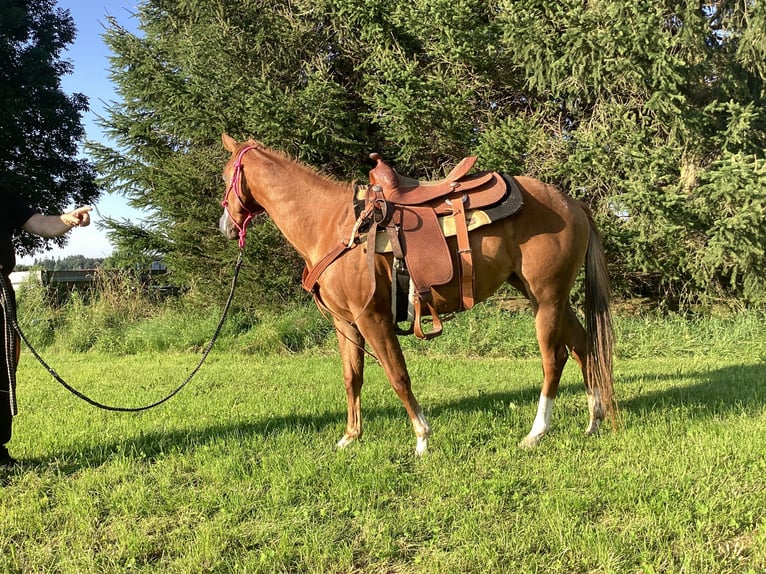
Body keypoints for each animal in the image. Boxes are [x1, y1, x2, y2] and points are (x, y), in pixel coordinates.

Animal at [218, 133, 616, 456]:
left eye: (225, 177)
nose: (225, 226)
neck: (332, 225)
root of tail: (572, 203)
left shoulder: (372, 318)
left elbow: (397, 375)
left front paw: (422, 437)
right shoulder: (345, 323)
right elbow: (352, 377)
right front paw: (350, 437)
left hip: (546, 299)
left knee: (555, 358)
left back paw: (536, 432)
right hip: (550, 298)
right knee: (584, 346)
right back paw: (594, 420)